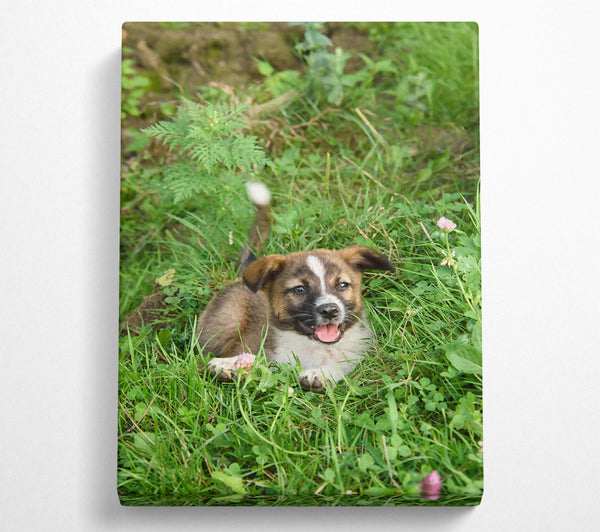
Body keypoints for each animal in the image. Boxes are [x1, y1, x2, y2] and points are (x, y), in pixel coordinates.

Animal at [197, 184, 394, 390]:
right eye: (299, 289)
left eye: (342, 285)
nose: (330, 311)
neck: (315, 347)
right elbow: (256, 359)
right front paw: (229, 363)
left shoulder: (361, 354)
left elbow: (342, 364)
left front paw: (321, 373)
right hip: (225, 321)